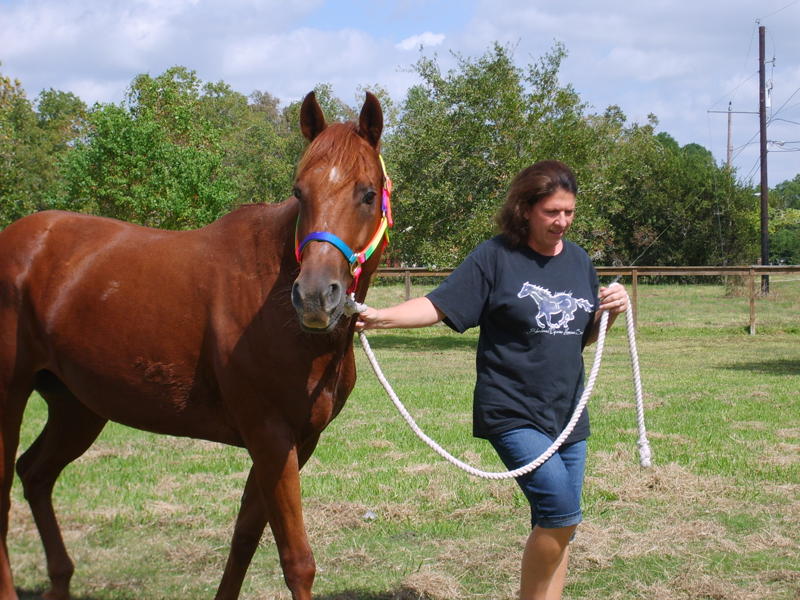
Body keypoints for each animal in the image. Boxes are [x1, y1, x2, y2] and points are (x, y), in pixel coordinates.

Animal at [0, 89, 390, 600]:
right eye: (299, 192)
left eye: (367, 193)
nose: (313, 296)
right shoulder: (270, 436)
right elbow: (296, 560)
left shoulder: (298, 441)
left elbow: (245, 536)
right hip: (10, 395)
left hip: (77, 407)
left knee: (35, 474)